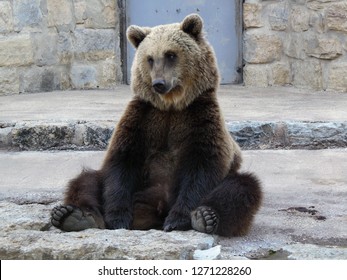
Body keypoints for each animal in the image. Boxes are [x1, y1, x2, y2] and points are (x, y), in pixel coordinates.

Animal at [51, 13, 262, 236]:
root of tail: (153, 213)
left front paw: (178, 219)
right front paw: (117, 218)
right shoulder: (143, 118)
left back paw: (206, 217)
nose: (158, 83)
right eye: (150, 58)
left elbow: (202, 166)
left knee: (243, 187)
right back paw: (75, 216)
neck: (171, 105)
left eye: (171, 55)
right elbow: (121, 162)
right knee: (86, 180)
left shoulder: (200, 117)